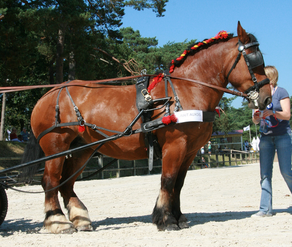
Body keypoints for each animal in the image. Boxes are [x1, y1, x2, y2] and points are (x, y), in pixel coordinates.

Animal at [23, 21, 272, 233]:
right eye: (254, 60)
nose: (267, 98)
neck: (186, 90)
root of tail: (47, 95)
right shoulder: (175, 145)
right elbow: (168, 180)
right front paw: (167, 219)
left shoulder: (190, 150)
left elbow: (179, 184)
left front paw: (178, 217)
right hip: (56, 147)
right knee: (51, 180)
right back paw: (57, 221)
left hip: (82, 149)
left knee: (67, 182)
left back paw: (80, 218)